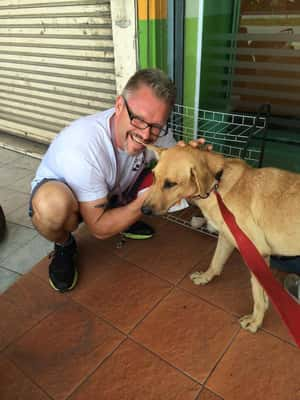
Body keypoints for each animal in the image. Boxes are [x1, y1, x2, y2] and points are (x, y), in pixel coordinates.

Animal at [142, 144, 300, 332]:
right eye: (153, 176)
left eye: (170, 184)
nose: (143, 210)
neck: (217, 184)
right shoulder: (226, 237)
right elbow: (216, 262)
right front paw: (205, 277)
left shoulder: (257, 252)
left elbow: (257, 294)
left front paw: (256, 321)